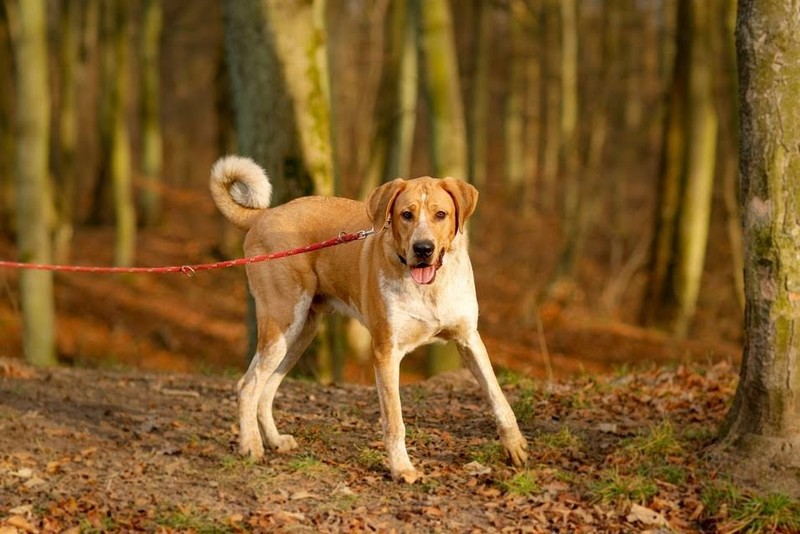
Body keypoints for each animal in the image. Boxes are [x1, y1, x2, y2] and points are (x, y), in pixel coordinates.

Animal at [209, 156, 528, 486]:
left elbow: (497, 395)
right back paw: (251, 445)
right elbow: (395, 421)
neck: (430, 289)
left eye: (441, 214)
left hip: (299, 334)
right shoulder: (385, 352)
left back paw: (274, 440)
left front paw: (514, 445)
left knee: (266, 389)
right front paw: (401, 468)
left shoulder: (469, 339)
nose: (423, 249)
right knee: (248, 386)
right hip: (282, 324)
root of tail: (264, 215)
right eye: (406, 215)